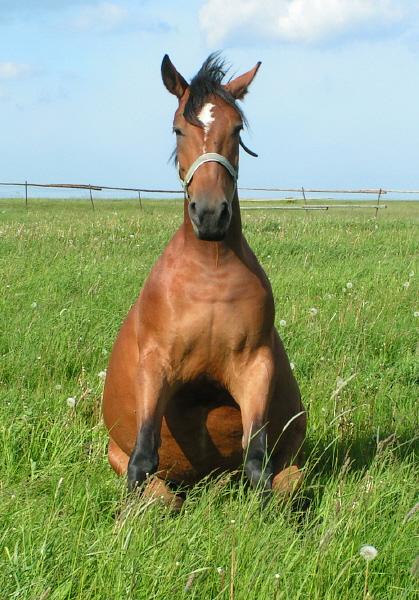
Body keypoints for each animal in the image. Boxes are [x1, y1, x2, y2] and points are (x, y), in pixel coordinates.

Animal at [101, 52, 306, 506]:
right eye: (178, 127)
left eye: (238, 128)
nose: (210, 214)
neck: (210, 275)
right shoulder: (156, 363)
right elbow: (143, 460)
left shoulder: (255, 366)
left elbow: (257, 463)